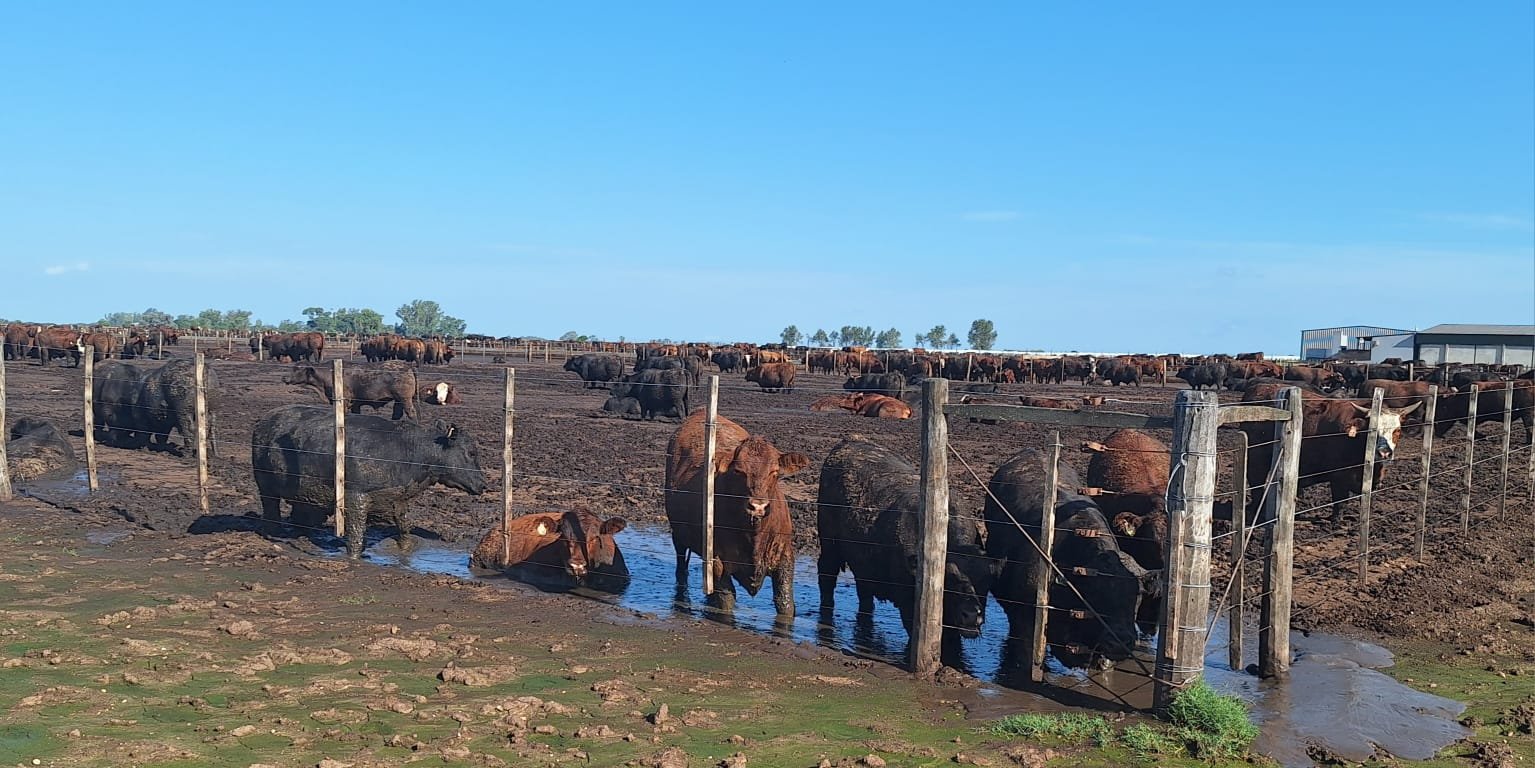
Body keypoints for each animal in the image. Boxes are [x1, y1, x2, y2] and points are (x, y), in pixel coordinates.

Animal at [251, 404, 486, 557]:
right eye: (472, 452)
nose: (484, 485)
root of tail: (265, 419)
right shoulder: (356, 496)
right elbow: (356, 533)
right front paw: (354, 558)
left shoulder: (398, 498)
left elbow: (404, 524)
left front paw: (407, 548)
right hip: (264, 483)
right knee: (270, 508)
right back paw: (274, 533)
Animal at [284, 364, 418, 421]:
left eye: (297, 370)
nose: (284, 377)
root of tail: (408, 366)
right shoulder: (355, 404)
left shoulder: (343, 401)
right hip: (399, 401)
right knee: (397, 413)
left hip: (405, 399)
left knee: (411, 413)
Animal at [663, 411, 808, 617]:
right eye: (739, 471)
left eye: (774, 472)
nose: (758, 506)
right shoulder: (717, 561)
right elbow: (726, 601)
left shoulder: (785, 558)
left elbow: (785, 602)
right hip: (678, 534)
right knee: (681, 565)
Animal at [817, 436, 993, 649]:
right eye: (949, 579)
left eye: (985, 581)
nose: (972, 615)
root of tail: (848, 441)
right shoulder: (909, 606)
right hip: (829, 547)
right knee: (826, 575)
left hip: (863, 565)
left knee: (864, 594)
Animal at [1239, 382, 1422, 524]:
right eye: (1372, 429)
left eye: (1397, 431)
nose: (1384, 453)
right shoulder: (1339, 476)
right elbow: (1339, 499)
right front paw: (1336, 521)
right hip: (1256, 459)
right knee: (1256, 483)